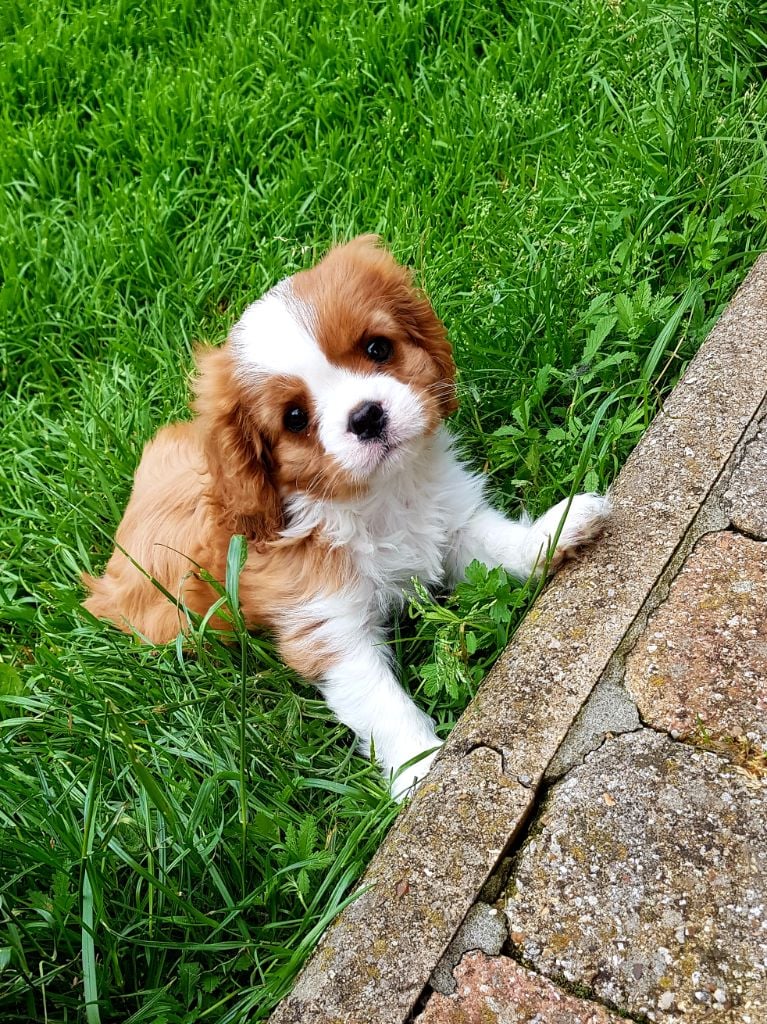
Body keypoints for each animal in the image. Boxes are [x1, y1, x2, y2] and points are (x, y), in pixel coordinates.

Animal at [83, 237, 610, 798]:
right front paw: (422, 771)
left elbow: (499, 545)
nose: (366, 416)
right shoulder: (327, 626)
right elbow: (383, 704)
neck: (381, 498)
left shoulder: (453, 525)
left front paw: (556, 533)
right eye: (294, 418)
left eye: (378, 349)